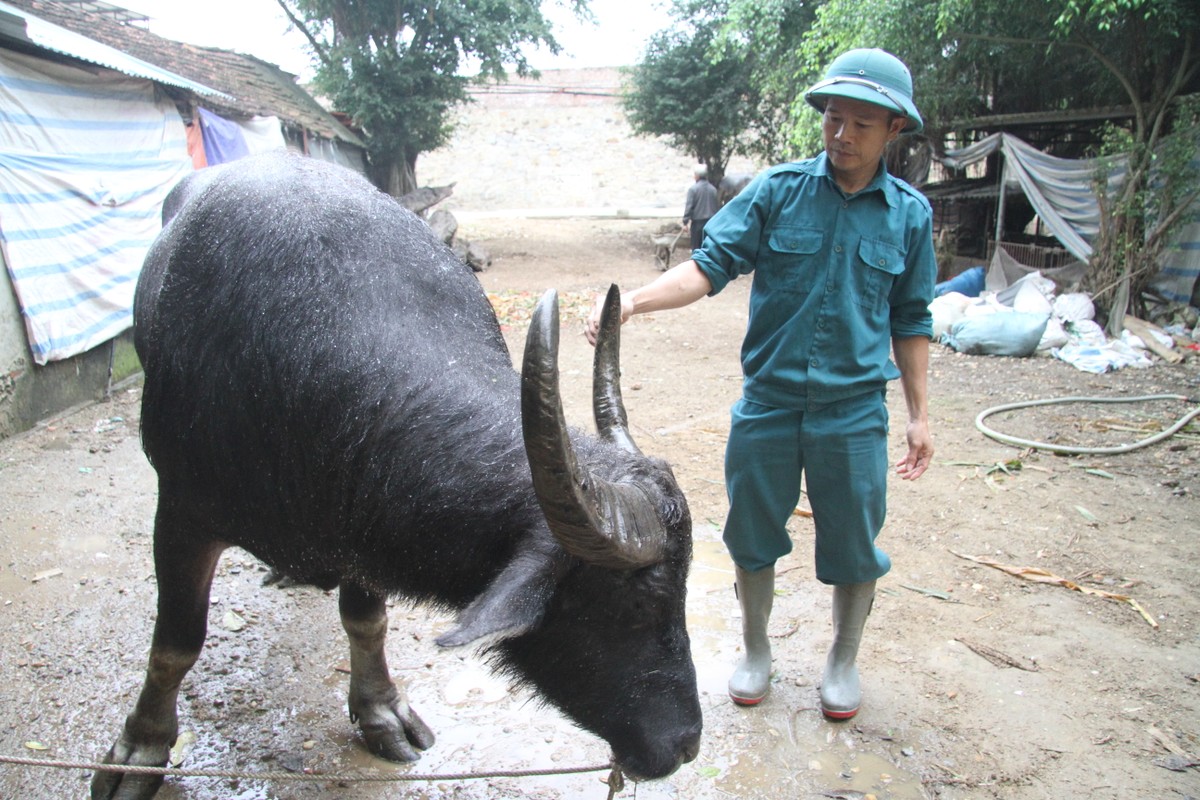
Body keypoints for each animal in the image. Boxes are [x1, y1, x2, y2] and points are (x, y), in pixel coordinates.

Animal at [96, 151, 700, 800]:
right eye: (637, 604)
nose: (686, 743)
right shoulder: (181, 513)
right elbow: (176, 644)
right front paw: (140, 750)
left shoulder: (362, 521)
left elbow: (367, 619)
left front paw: (380, 710)